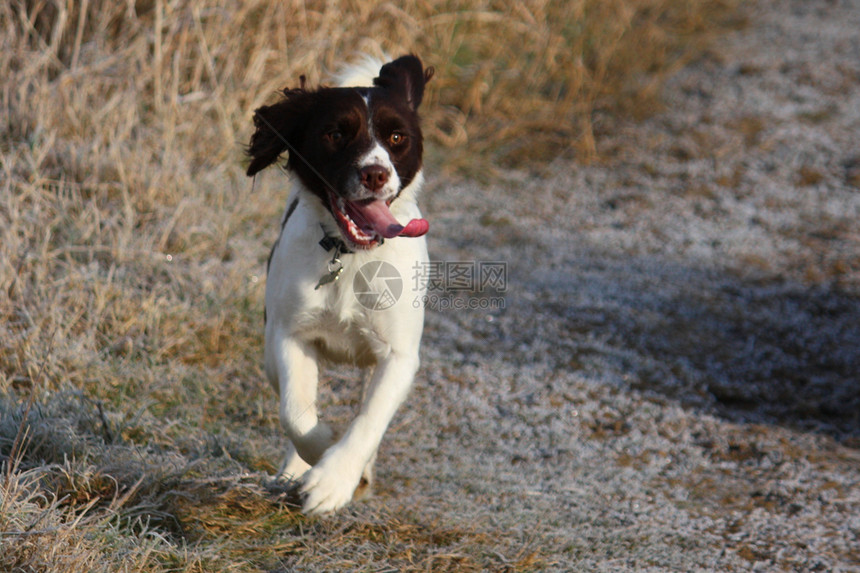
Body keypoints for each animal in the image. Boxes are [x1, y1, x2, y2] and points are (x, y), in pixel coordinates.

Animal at [247, 54, 436, 512]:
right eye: (335, 134)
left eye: (397, 137)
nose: (374, 174)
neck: (350, 258)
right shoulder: (290, 334)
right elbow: (297, 413)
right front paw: (319, 458)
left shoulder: (399, 356)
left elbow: (368, 419)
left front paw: (336, 480)